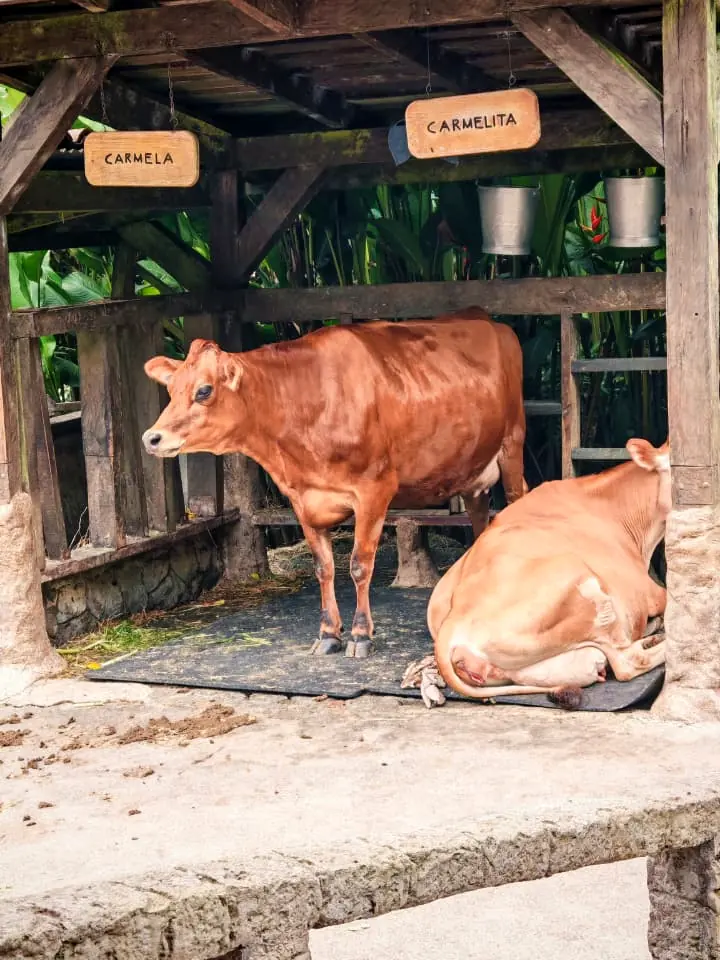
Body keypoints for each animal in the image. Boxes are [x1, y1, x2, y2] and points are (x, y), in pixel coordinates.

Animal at [141, 309, 527, 659]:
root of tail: (485, 318)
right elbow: (323, 567)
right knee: (479, 520)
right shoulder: (303, 499)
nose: (152, 438)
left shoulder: (374, 488)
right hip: (474, 470)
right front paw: (328, 633)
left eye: (204, 391)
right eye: (171, 390)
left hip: (512, 447)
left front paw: (360, 635)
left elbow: (359, 565)